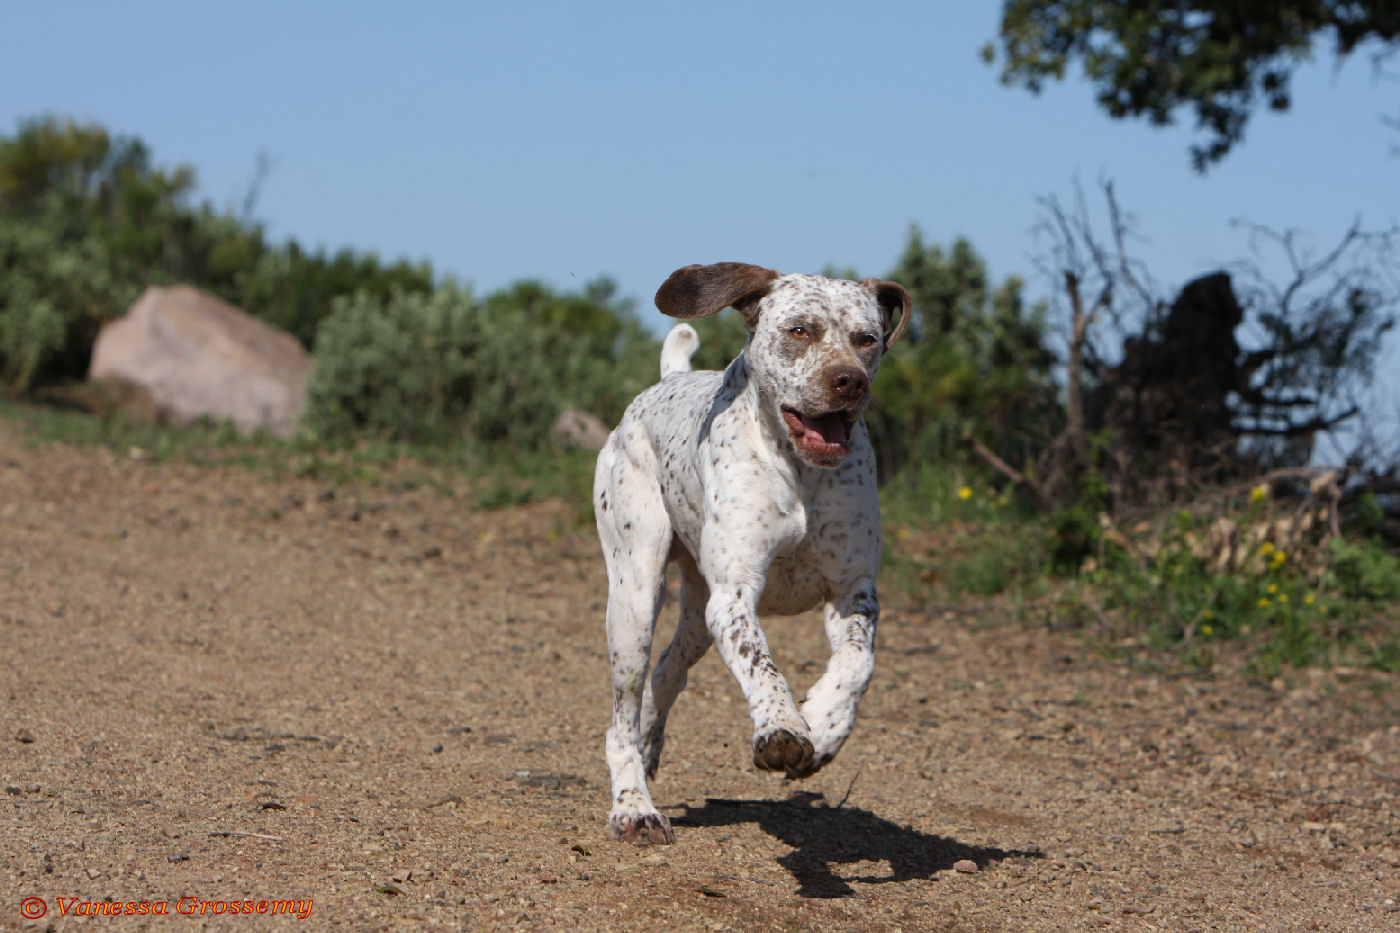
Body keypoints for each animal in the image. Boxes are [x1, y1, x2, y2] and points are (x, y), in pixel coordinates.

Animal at [588, 261, 907, 840]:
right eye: (799, 331)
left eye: (867, 338)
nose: (849, 380)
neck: (800, 472)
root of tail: (665, 382)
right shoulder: (735, 596)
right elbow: (762, 665)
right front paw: (782, 728)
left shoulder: (853, 593)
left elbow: (858, 664)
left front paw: (823, 724)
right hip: (635, 597)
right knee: (621, 717)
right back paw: (634, 806)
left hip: (696, 615)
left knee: (666, 673)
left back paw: (649, 749)